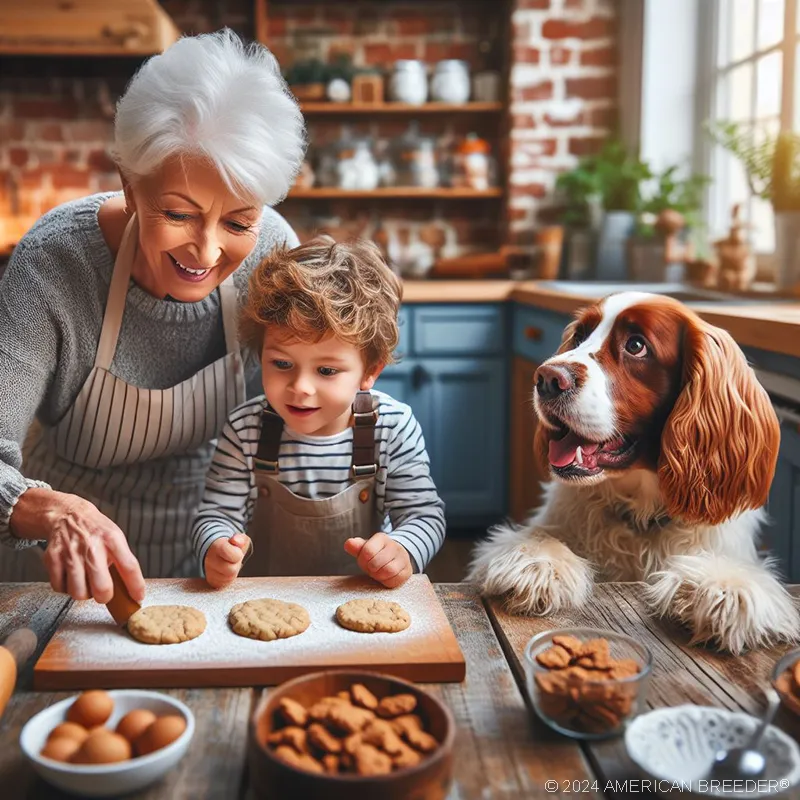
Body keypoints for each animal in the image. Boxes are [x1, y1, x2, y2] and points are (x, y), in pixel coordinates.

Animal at [468, 290, 800, 652]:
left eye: (636, 345)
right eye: (580, 336)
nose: (546, 378)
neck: (640, 514)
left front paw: (722, 587)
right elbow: (537, 541)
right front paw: (537, 565)